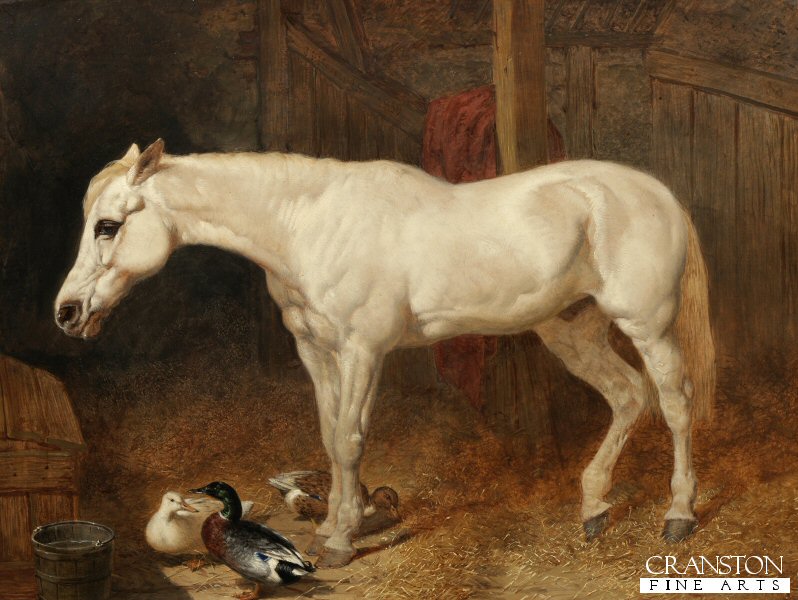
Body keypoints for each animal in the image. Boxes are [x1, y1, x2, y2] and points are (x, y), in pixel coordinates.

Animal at [55, 139, 715, 568]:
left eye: (108, 226)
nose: (68, 313)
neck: (307, 222)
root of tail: (659, 193)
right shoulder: (317, 352)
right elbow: (328, 438)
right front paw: (333, 522)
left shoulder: (362, 349)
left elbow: (350, 439)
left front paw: (341, 541)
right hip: (572, 330)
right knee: (628, 397)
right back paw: (595, 507)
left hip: (649, 326)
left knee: (675, 404)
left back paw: (679, 516)